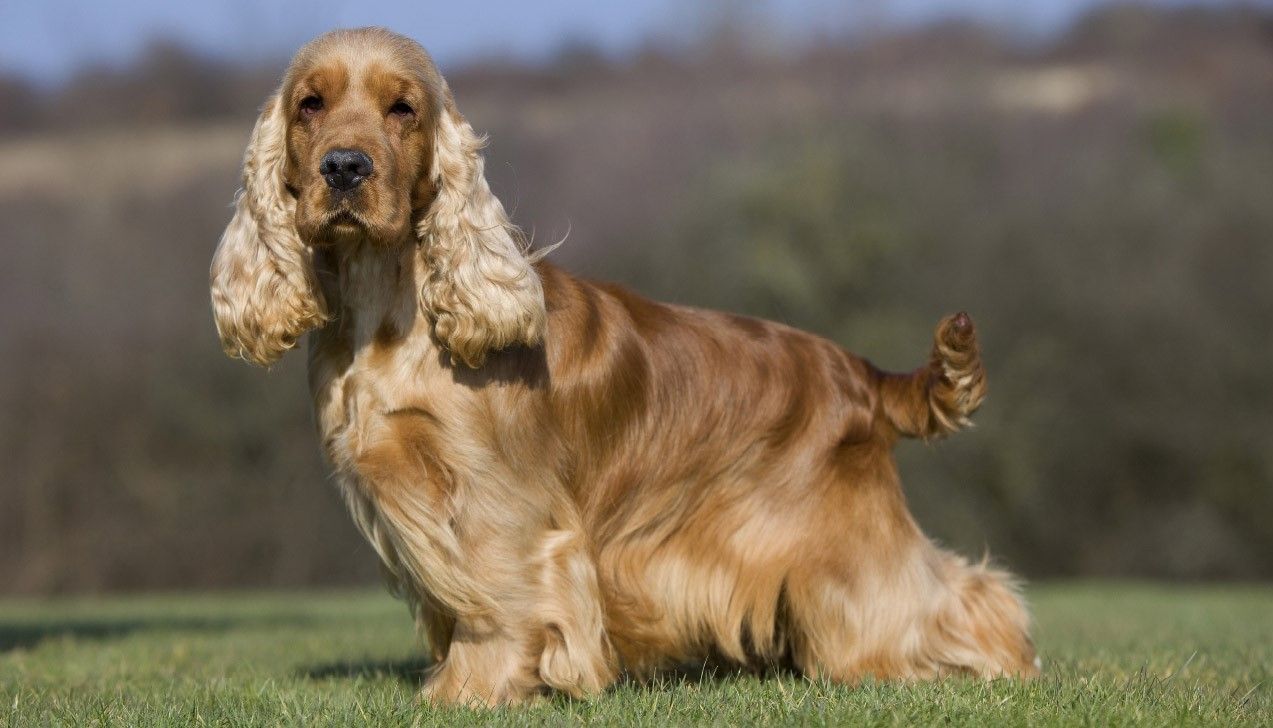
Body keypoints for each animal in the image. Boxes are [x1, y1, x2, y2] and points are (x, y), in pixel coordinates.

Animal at [208, 27, 1038, 707]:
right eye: (310, 104)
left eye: (403, 108)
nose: (343, 168)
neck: (389, 309)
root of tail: (859, 372)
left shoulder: (493, 499)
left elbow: (496, 601)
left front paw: (470, 691)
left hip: (847, 548)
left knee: (947, 598)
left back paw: (1005, 662)